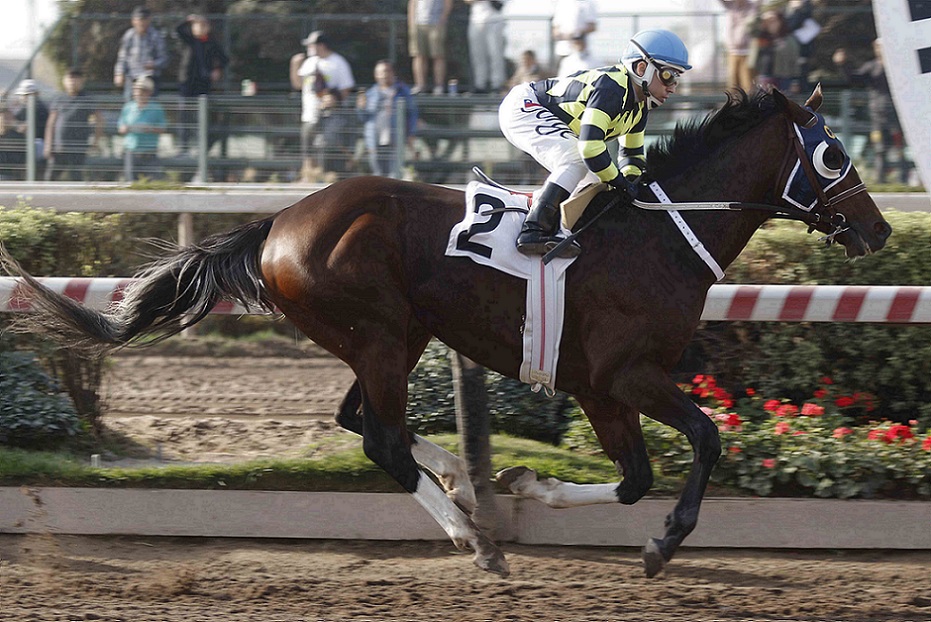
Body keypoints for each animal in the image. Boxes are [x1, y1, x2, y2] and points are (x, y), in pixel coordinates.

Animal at [0, 87, 891, 578]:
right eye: (833, 155)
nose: (879, 230)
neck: (659, 235)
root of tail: (280, 220)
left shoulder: (601, 387)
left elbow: (639, 475)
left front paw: (528, 484)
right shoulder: (620, 378)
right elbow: (696, 445)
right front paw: (659, 543)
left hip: (394, 336)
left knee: (362, 423)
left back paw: (464, 486)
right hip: (379, 332)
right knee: (379, 438)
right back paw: (473, 535)